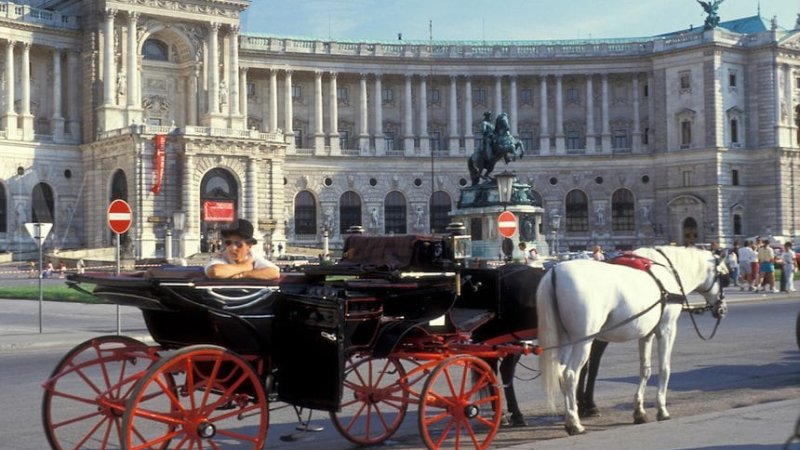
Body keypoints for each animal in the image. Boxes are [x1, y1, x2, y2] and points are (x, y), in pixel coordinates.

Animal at [536, 246, 728, 436]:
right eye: (724, 276)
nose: (722, 309)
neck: (668, 273)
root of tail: (555, 271)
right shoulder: (666, 329)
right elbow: (664, 369)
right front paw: (662, 410)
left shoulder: (646, 334)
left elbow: (645, 370)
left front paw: (639, 412)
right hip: (583, 341)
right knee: (570, 375)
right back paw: (575, 424)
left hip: (566, 340)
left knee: (560, 373)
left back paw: (570, 419)